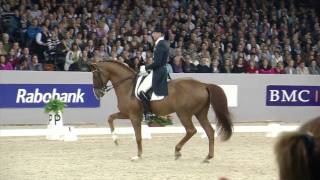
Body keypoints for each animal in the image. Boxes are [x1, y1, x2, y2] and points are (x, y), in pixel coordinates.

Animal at [90, 61, 232, 162]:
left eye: (95, 75)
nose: (97, 94)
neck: (128, 86)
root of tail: (203, 85)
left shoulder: (134, 116)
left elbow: (138, 136)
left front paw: (138, 156)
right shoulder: (126, 114)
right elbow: (110, 118)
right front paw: (115, 140)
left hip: (184, 113)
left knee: (191, 130)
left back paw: (177, 151)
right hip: (200, 113)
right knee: (209, 131)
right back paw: (208, 157)